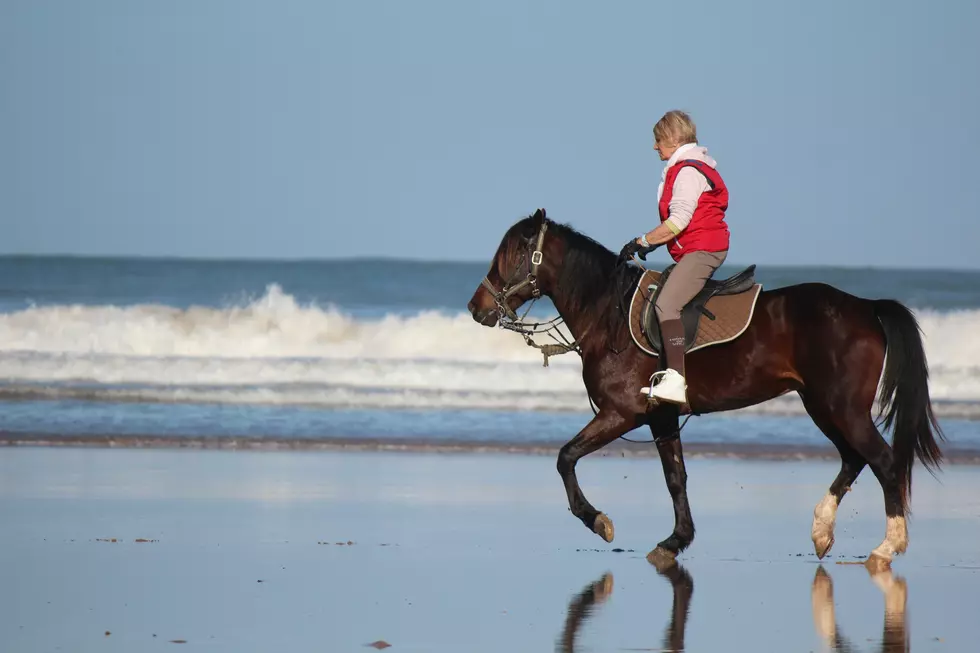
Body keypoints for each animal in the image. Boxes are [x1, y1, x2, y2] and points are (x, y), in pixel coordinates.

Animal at [467, 208, 945, 571]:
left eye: (514, 253)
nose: (476, 307)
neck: (609, 315)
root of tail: (866, 307)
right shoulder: (660, 416)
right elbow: (675, 478)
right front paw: (675, 541)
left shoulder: (621, 413)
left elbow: (566, 458)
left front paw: (598, 521)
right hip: (822, 406)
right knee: (853, 459)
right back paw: (821, 531)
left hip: (841, 407)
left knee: (883, 461)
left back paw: (885, 547)